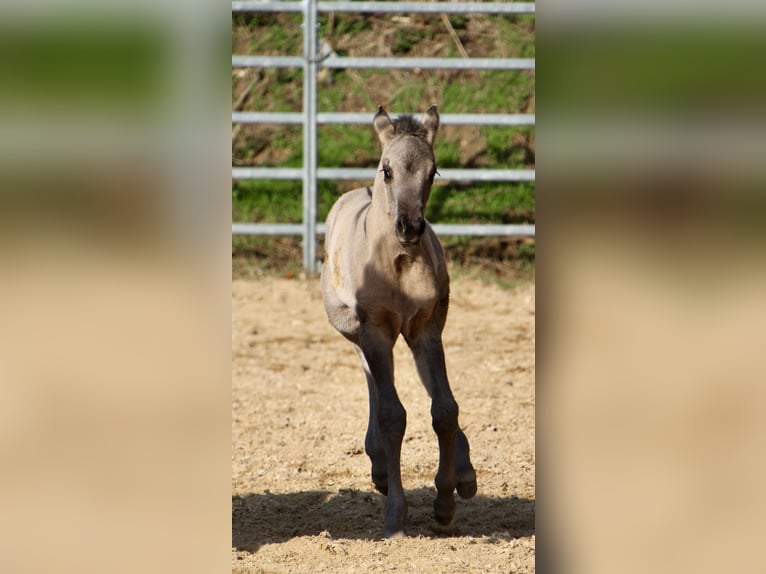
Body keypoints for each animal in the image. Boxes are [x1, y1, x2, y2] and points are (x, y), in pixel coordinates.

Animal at [320, 105, 477, 538]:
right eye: (386, 170)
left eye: (433, 171)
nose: (410, 226)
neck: (401, 262)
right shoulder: (375, 330)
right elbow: (393, 415)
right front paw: (395, 515)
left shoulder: (427, 330)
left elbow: (445, 409)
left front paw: (445, 502)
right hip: (361, 334)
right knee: (373, 382)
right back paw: (379, 467)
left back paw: (464, 472)